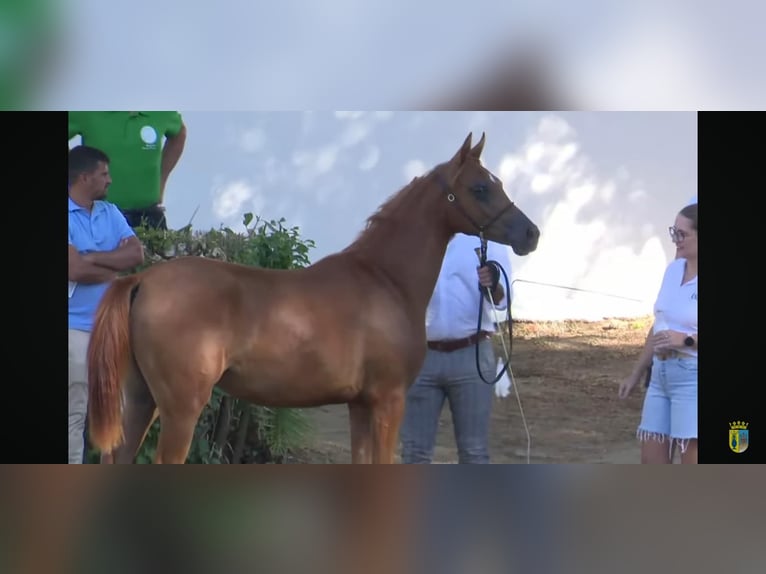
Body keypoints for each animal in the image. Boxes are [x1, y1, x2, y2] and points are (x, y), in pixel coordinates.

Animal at [87, 131, 540, 464]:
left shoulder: (360, 405)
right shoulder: (388, 400)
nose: (531, 234)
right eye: (479, 188)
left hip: (141, 398)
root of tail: (144, 281)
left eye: (497, 183)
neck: (386, 279)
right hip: (181, 407)